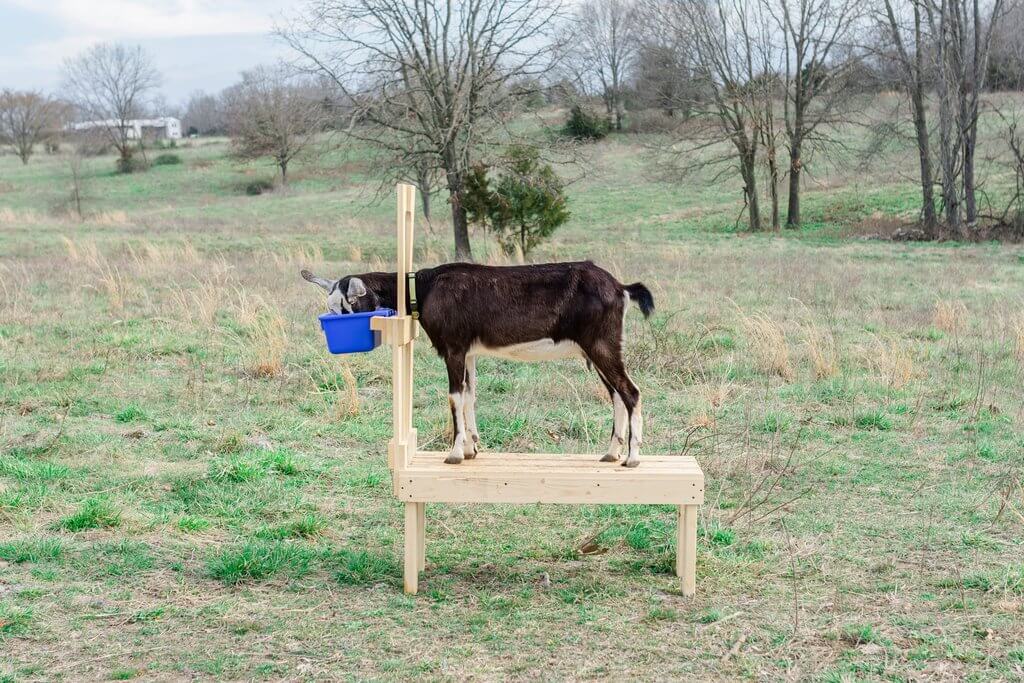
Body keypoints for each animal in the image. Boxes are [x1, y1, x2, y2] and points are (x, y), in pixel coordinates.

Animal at [303, 260, 655, 464]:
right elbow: (470, 395)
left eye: (347, 306)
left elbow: (454, 397)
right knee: (616, 394)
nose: (330, 330)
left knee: (631, 392)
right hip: (598, 348)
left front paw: (455, 453)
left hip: (601, 344)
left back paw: (633, 457)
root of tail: (621, 288)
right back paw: (611, 453)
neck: (424, 288)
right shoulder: (470, 352)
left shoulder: (454, 348)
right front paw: (473, 448)